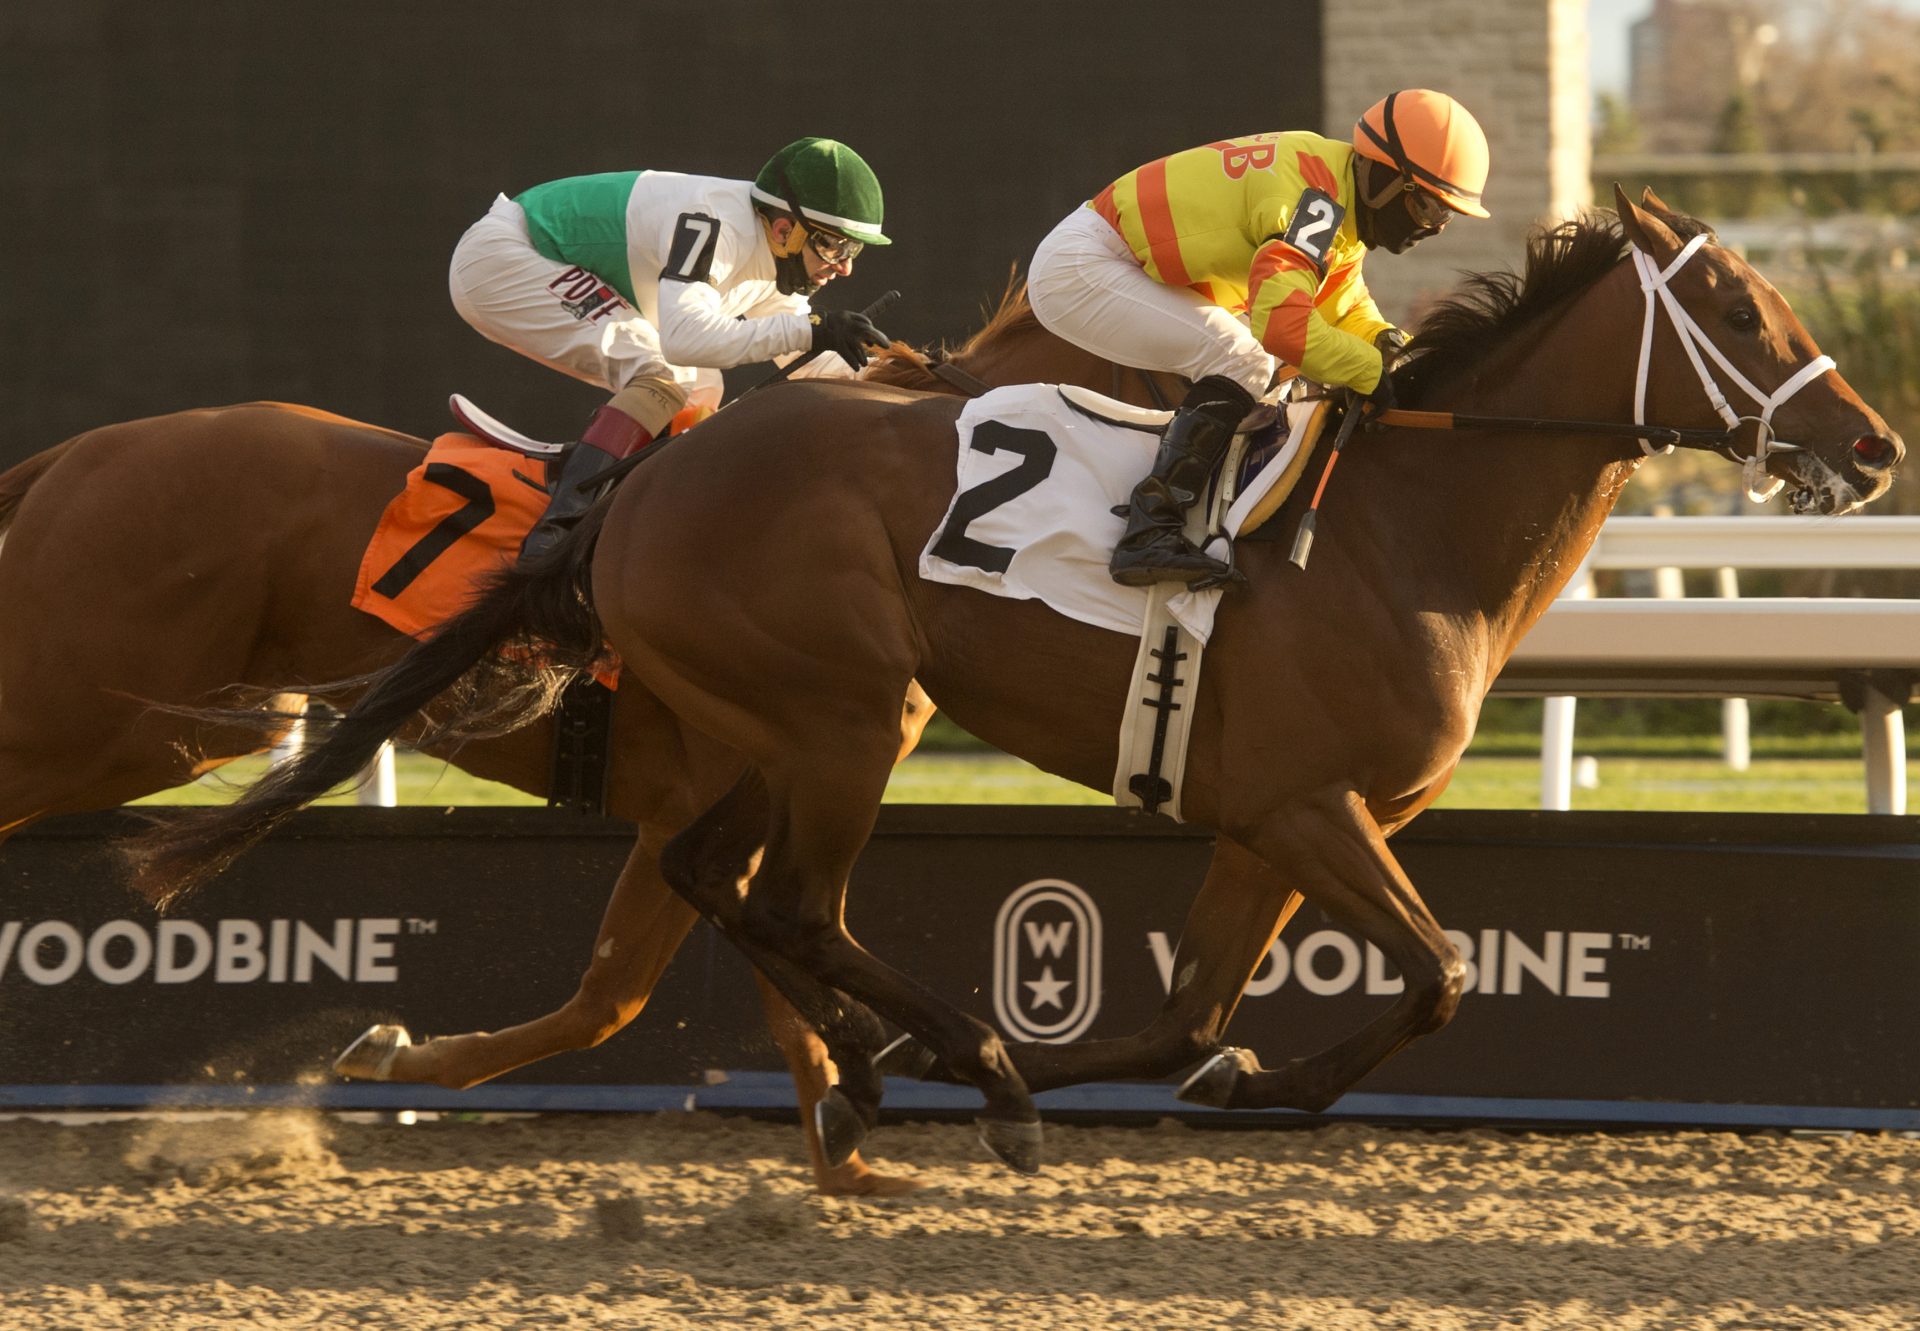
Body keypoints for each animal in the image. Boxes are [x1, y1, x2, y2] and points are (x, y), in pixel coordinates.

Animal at [0, 290, 1175, 1190]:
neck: (884, 502)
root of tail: (77, 452)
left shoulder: (744, 791)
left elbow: (630, 993)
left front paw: (848, 1151)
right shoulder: (775, 773)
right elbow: (672, 975)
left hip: (167, 724)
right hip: (102, 720)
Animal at [120, 189, 1904, 1175]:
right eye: (1740, 306)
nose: (1876, 446)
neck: (1402, 525)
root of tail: (644, 474)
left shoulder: (1263, 824)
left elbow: (1189, 1016)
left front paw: (1220, 1067)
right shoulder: (1311, 806)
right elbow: (1440, 973)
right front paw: (1224, 1075)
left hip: (780, 723)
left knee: (714, 881)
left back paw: (862, 1065)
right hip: (853, 713)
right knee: (791, 900)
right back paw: (931, 1059)